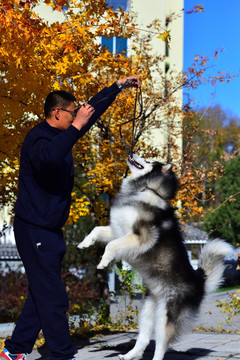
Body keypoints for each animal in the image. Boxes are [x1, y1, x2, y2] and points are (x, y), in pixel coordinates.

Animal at [78, 154, 234, 360]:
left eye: (150, 160)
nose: (132, 153)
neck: (145, 188)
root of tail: (199, 281)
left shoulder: (140, 237)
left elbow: (111, 246)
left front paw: (104, 262)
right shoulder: (118, 231)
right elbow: (97, 230)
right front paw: (84, 243)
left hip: (165, 318)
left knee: (161, 345)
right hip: (147, 312)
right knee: (143, 339)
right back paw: (129, 355)